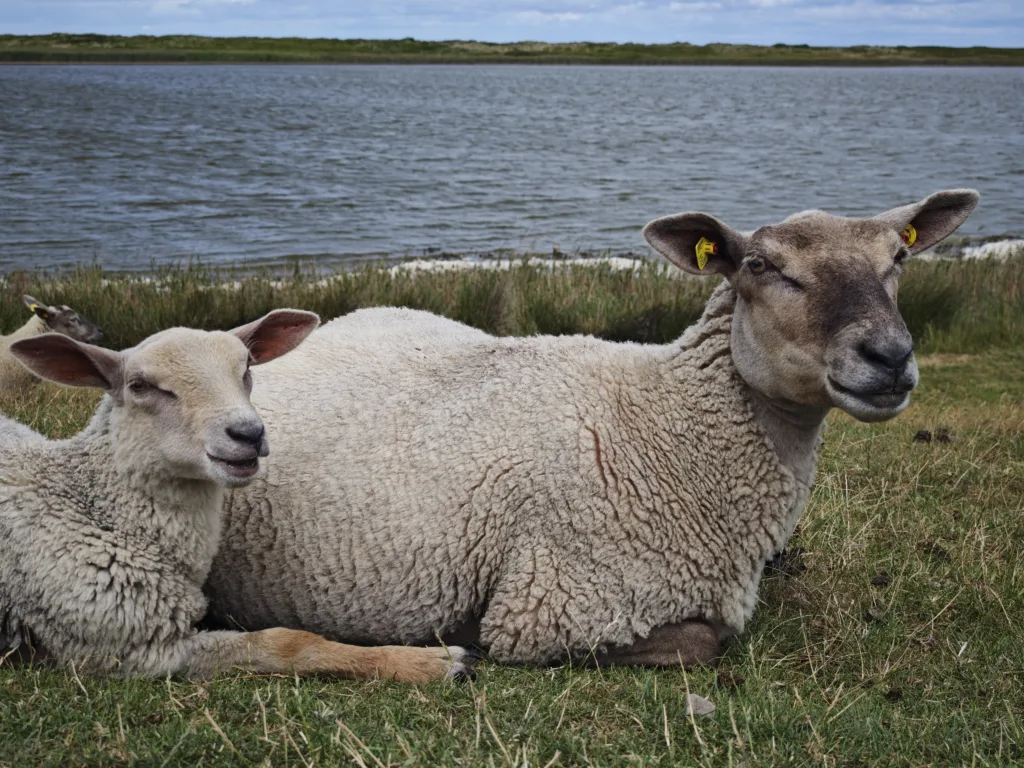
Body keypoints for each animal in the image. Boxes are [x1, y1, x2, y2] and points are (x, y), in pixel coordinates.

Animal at [0, 311, 477, 682]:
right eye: (139, 385)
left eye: (246, 367)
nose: (248, 433)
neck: (92, 505)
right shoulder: (129, 647)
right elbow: (287, 643)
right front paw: (429, 662)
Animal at [204, 190, 980, 668]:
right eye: (762, 266)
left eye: (899, 259)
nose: (889, 356)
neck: (667, 422)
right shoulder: (549, 608)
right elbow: (704, 642)